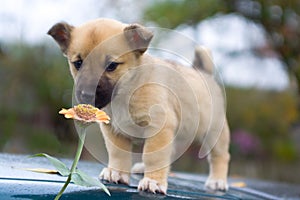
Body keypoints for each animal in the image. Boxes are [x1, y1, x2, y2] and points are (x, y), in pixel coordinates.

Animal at [47, 18, 230, 194]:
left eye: (111, 66)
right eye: (78, 63)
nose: (86, 94)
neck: (126, 92)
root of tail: (204, 73)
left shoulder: (159, 128)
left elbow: (153, 157)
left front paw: (153, 181)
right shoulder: (114, 131)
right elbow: (118, 154)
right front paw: (117, 173)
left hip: (215, 133)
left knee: (220, 156)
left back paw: (217, 180)